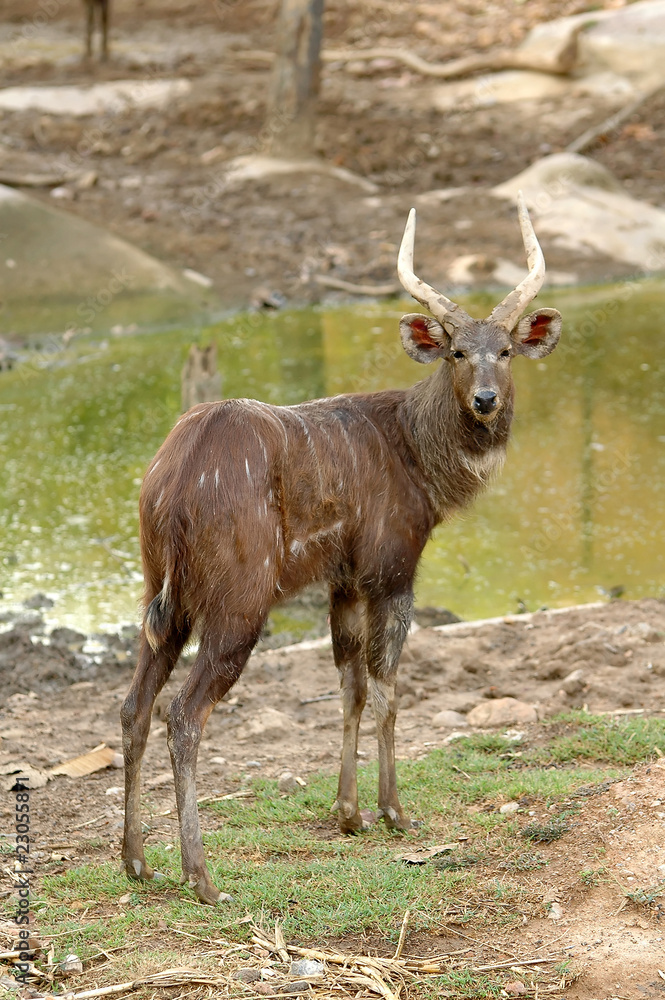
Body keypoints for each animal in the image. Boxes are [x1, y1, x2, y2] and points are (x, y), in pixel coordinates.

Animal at [120, 195, 560, 908]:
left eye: (506, 350)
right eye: (456, 351)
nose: (487, 400)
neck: (416, 454)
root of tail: (174, 482)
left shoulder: (343, 580)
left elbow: (349, 686)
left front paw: (348, 814)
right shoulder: (392, 570)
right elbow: (386, 690)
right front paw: (394, 813)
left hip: (161, 596)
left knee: (134, 705)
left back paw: (136, 862)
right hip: (238, 602)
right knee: (183, 714)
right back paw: (203, 877)